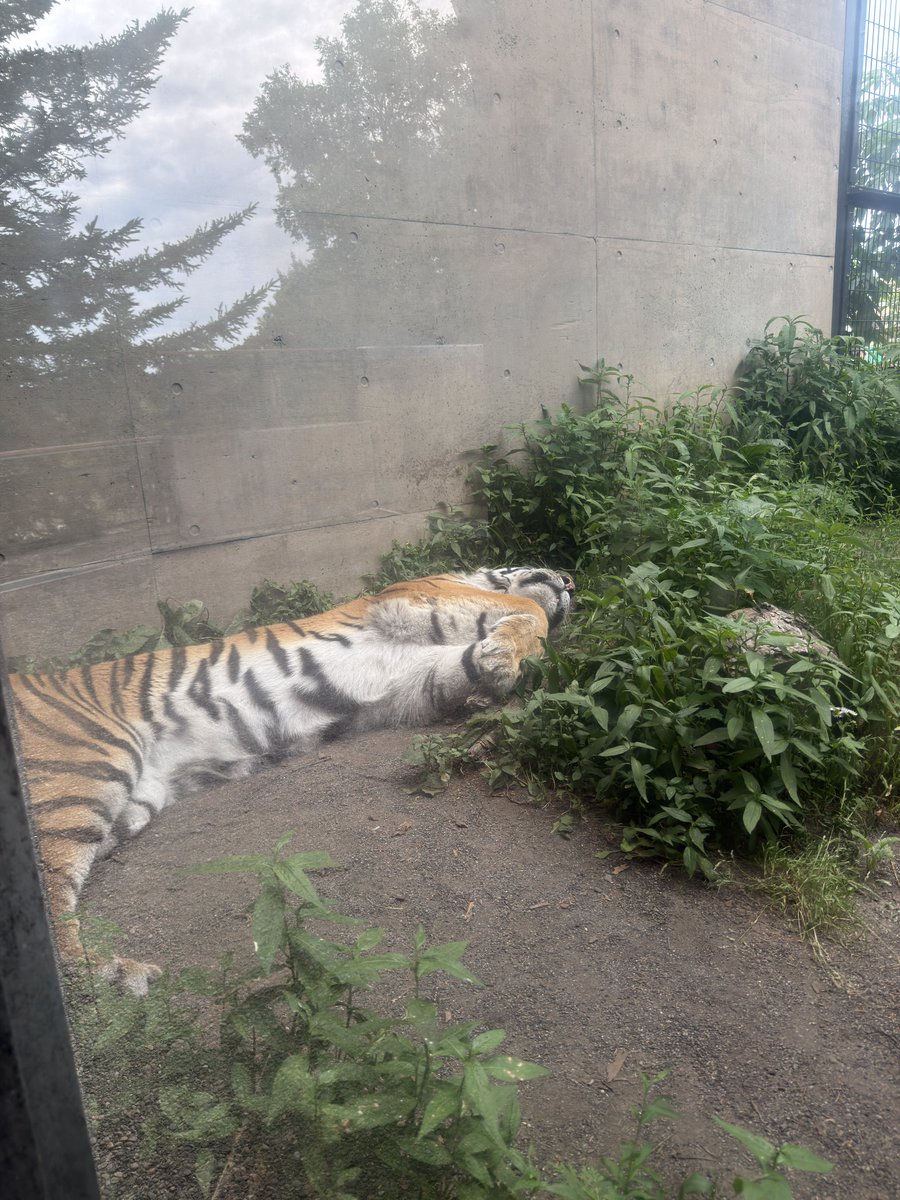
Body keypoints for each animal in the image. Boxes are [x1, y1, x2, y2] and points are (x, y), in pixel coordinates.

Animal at [7, 566, 574, 995]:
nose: (571, 579)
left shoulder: (422, 678)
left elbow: (478, 657)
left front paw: (494, 670)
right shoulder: (415, 595)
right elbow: (530, 611)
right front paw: (509, 653)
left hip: (131, 802)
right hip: (83, 768)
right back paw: (115, 975)